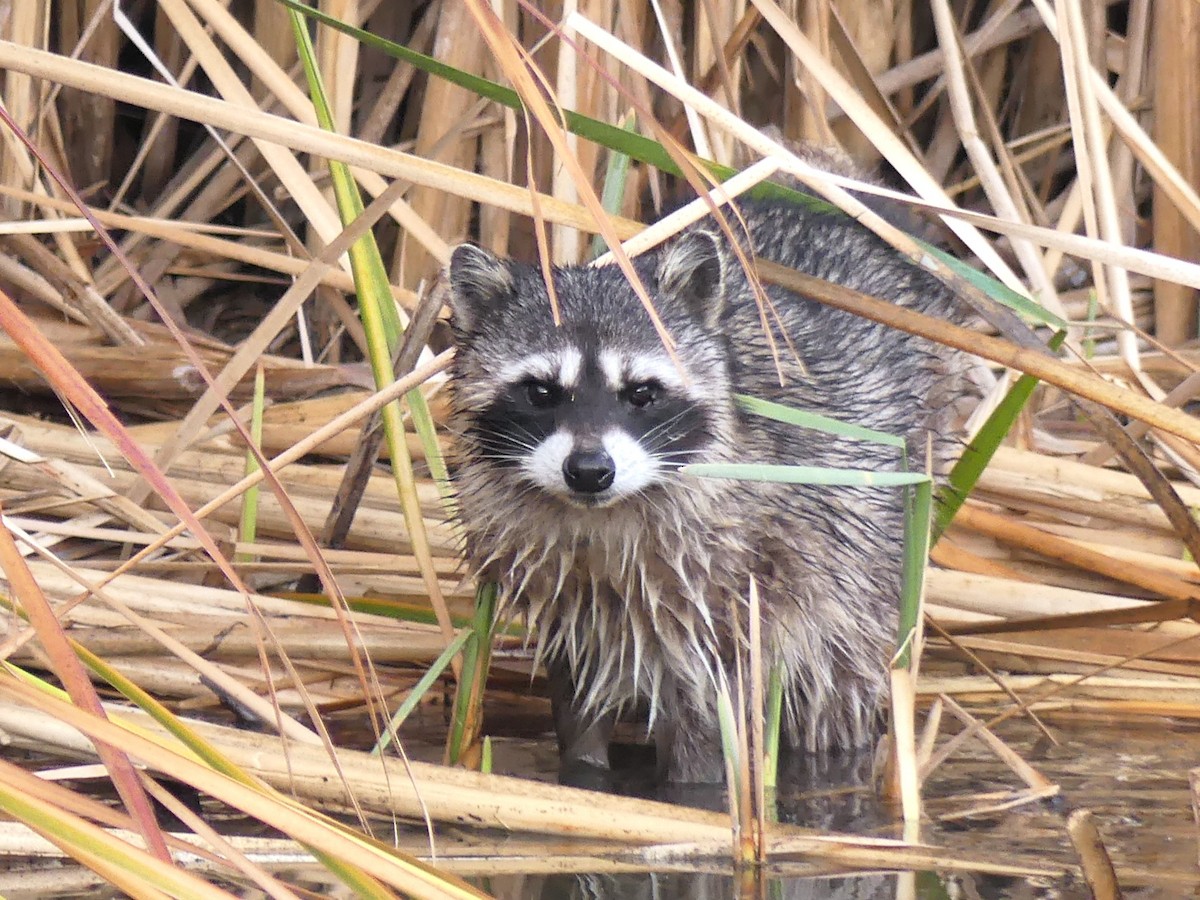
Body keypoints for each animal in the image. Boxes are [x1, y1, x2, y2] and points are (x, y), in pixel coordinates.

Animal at [446, 198, 971, 783]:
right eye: (540, 392)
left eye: (642, 393)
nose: (589, 471)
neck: (600, 516)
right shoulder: (564, 587)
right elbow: (580, 691)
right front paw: (584, 773)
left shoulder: (739, 579)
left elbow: (709, 711)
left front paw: (696, 786)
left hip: (880, 532)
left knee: (838, 674)